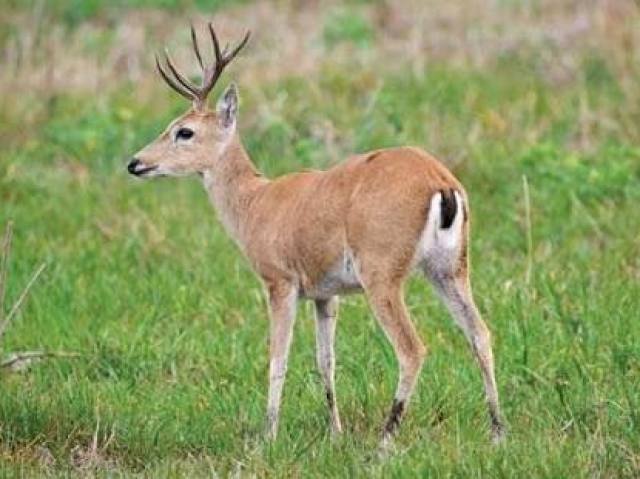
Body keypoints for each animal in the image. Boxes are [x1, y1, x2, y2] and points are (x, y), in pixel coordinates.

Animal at [126, 23, 504, 446]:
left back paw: (384, 441)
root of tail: (441, 182)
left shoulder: (280, 282)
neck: (256, 203)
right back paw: (497, 433)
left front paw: (268, 436)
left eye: (185, 131)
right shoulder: (326, 294)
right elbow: (326, 360)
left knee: (413, 349)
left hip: (382, 275)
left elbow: (278, 357)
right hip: (450, 269)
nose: (136, 163)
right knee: (480, 334)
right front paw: (334, 434)